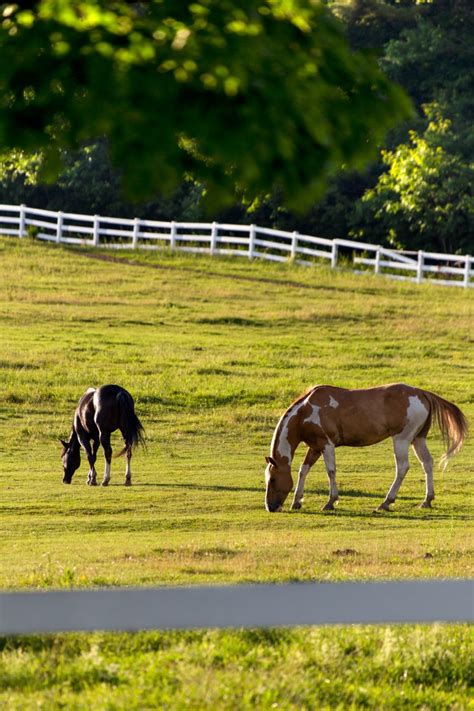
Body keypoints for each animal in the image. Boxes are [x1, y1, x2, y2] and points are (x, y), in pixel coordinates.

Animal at [264, 384, 468, 512]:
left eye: (273, 479)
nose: (270, 507)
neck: (305, 411)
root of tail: (421, 393)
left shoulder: (327, 445)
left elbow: (331, 471)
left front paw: (330, 501)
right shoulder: (315, 447)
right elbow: (303, 470)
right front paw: (296, 501)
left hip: (401, 439)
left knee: (402, 468)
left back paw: (386, 502)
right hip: (417, 439)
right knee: (427, 463)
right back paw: (427, 500)